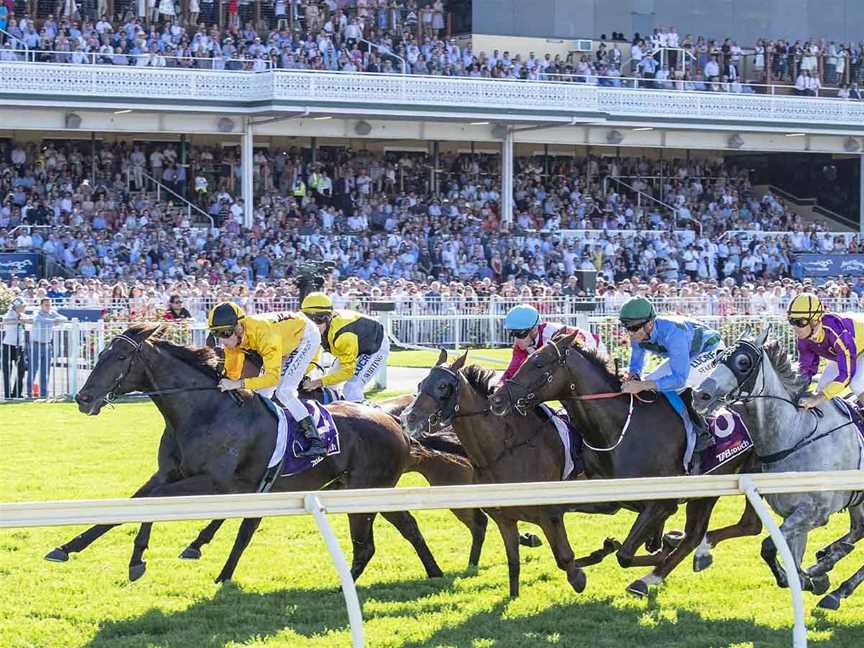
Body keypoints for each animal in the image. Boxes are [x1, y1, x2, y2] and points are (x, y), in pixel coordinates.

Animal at [46, 326, 446, 584]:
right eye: (99, 353)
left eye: (121, 356)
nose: (83, 398)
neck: (203, 411)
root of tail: (392, 420)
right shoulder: (171, 474)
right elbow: (133, 504)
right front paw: (68, 547)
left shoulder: (215, 483)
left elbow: (156, 501)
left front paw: (137, 558)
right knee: (394, 531)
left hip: (368, 489)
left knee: (385, 536)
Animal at [404, 352, 592, 600]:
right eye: (420, 384)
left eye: (443, 386)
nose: (410, 418)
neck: (504, 451)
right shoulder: (504, 518)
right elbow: (513, 562)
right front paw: (513, 596)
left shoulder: (550, 514)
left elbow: (564, 557)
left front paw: (579, 577)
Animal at [696, 332, 864, 612]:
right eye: (718, 358)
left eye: (743, 362)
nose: (701, 395)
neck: (796, 434)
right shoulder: (793, 516)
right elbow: (793, 560)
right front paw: (813, 577)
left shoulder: (812, 514)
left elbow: (768, 547)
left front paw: (808, 578)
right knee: (858, 530)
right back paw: (829, 562)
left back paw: (837, 585)